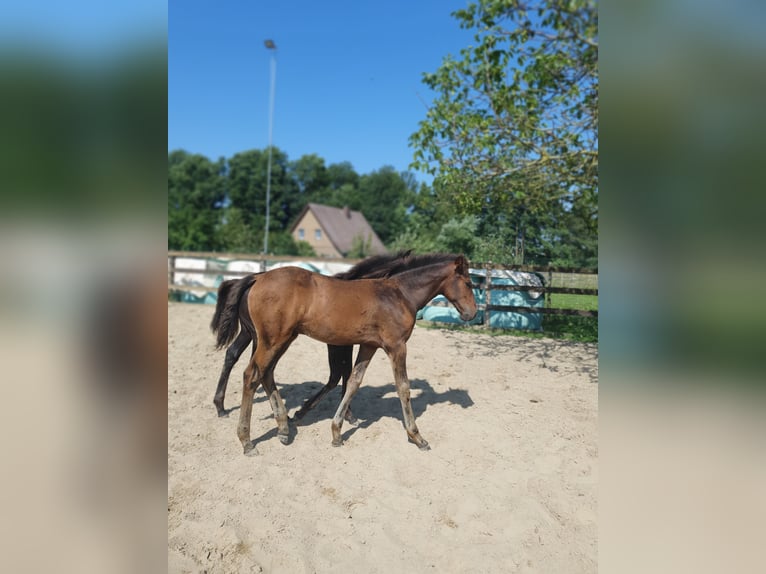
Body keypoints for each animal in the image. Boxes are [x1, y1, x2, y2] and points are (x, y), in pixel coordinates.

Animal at [208, 251, 414, 418]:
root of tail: (255, 279)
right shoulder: (341, 344)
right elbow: (340, 374)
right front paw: (346, 414)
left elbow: (341, 374)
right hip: (263, 336)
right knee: (252, 365)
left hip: (251, 333)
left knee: (234, 355)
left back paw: (222, 406)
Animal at [236, 256, 474, 460]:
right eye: (469, 283)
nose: (471, 313)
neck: (400, 294)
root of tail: (258, 278)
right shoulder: (397, 346)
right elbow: (403, 387)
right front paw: (417, 436)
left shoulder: (369, 345)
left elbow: (353, 382)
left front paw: (337, 433)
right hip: (273, 340)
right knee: (252, 375)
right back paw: (247, 442)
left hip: (283, 339)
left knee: (266, 374)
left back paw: (284, 428)